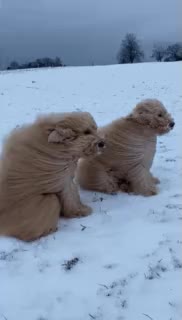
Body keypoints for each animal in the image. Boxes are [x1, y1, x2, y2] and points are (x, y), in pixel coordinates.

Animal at [0, 112, 105, 240]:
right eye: (86, 132)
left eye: (95, 129)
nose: (102, 143)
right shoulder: (62, 179)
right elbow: (70, 196)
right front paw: (80, 211)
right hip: (46, 201)